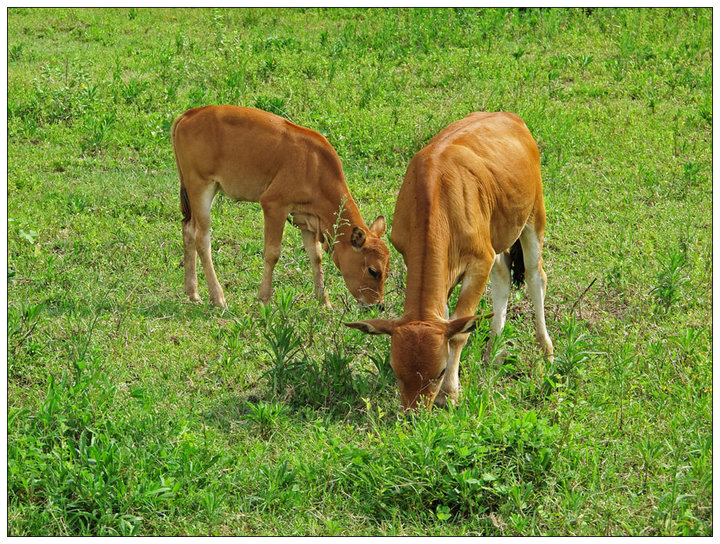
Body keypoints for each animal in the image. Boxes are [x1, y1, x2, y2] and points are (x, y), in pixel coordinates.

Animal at [172, 105, 390, 308]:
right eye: (373, 270)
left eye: (387, 270)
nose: (378, 305)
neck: (315, 166)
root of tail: (191, 113)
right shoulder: (274, 205)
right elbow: (272, 254)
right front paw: (264, 298)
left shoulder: (307, 219)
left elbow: (316, 256)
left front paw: (324, 301)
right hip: (201, 187)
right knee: (202, 238)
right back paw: (218, 297)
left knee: (188, 229)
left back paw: (193, 292)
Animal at [346, 112, 556, 410]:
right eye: (396, 371)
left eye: (440, 371)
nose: (413, 413)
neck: (438, 197)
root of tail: (510, 116)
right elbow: (447, 318)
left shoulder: (479, 262)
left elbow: (459, 330)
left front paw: (449, 393)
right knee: (503, 278)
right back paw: (493, 353)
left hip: (534, 218)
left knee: (535, 278)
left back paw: (545, 350)